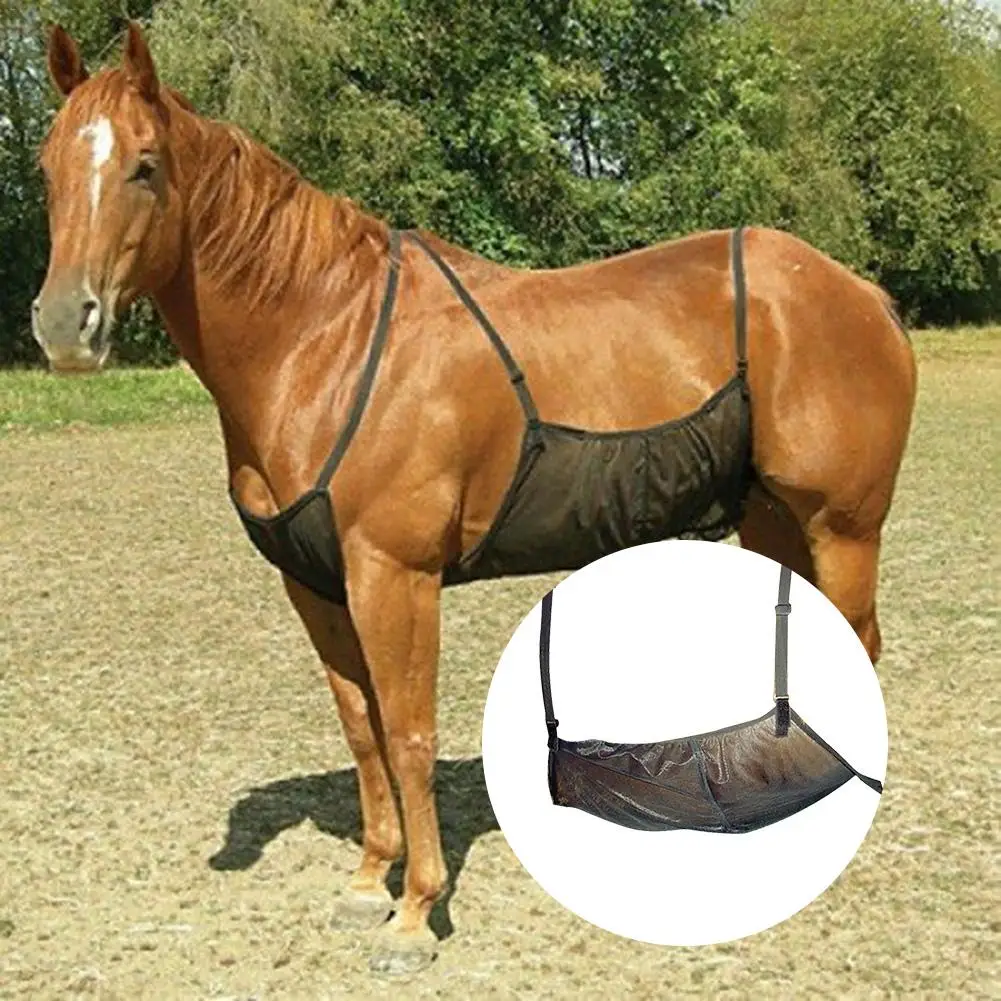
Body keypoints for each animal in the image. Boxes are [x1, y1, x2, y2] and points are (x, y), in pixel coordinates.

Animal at [33, 22, 916, 974]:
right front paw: (366, 882)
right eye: (46, 167)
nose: (65, 324)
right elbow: (361, 727)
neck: (324, 339)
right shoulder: (315, 583)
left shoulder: (394, 574)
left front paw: (416, 911)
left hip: (841, 526)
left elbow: (408, 732)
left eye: (145, 166)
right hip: (770, 521)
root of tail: (861, 292)